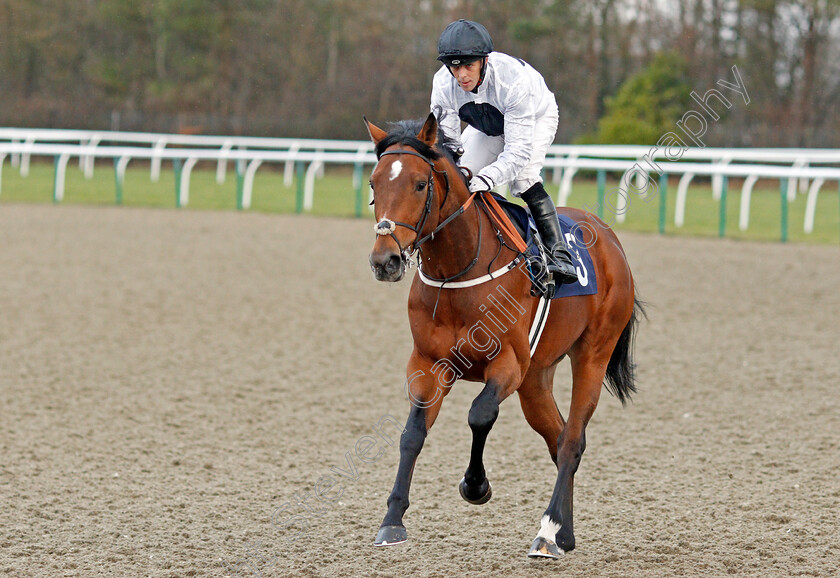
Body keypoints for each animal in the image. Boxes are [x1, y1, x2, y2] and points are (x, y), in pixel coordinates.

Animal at [362, 110, 644, 556]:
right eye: (374, 183)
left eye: (420, 184)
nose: (384, 260)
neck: (459, 271)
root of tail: (610, 238)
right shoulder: (427, 363)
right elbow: (412, 434)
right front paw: (392, 521)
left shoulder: (508, 363)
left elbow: (479, 414)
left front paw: (475, 486)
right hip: (536, 379)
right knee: (558, 437)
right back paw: (564, 534)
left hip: (592, 355)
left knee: (572, 440)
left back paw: (547, 531)